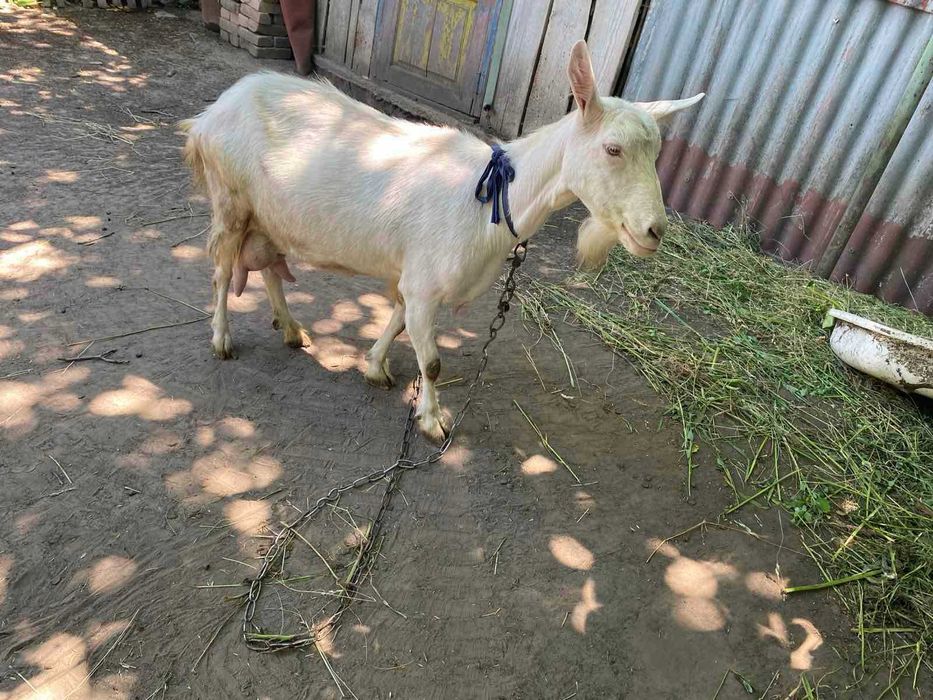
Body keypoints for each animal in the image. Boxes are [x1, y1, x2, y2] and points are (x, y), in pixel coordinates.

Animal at [180, 41, 703, 443]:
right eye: (613, 149)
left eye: (657, 152)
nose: (654, 231)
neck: (492, 195)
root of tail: (209, 114)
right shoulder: (425, 282)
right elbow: (430, 361)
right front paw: (433, 421)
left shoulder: (414, 279)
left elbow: (397, 323)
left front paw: (374, 367)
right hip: (230, 201)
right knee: (222, 270)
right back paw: (222, 339)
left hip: (269, 215)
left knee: (269, 267)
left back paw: (291, 329)